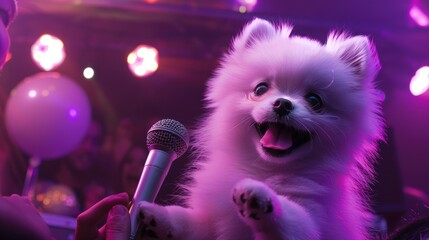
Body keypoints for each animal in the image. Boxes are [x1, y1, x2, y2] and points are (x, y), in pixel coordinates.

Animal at [138, 18, 384, 240]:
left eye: (315, 100)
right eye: (261, 89)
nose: (283, 103)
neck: (266, 170)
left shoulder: (316, 220)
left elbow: (295, 219)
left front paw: (262, 196)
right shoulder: (211, 222)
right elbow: (189, 222)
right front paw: (158, 215)